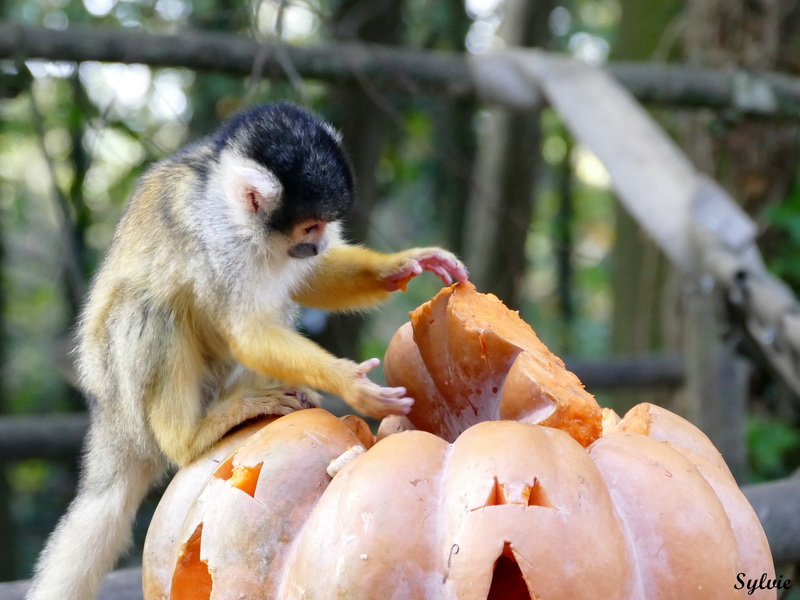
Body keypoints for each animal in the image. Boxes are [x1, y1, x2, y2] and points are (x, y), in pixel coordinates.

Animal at [26, 103, 468, 600]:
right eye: (310, 225)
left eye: (323, 228)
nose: (317, 244)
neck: (235, 210)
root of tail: (109, 416)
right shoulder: (222, 239)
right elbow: (247, 331)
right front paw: (351, 384)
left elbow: (308, 279)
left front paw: (402, 264)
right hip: (126, 392)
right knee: (153, 308)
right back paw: (192, 436)